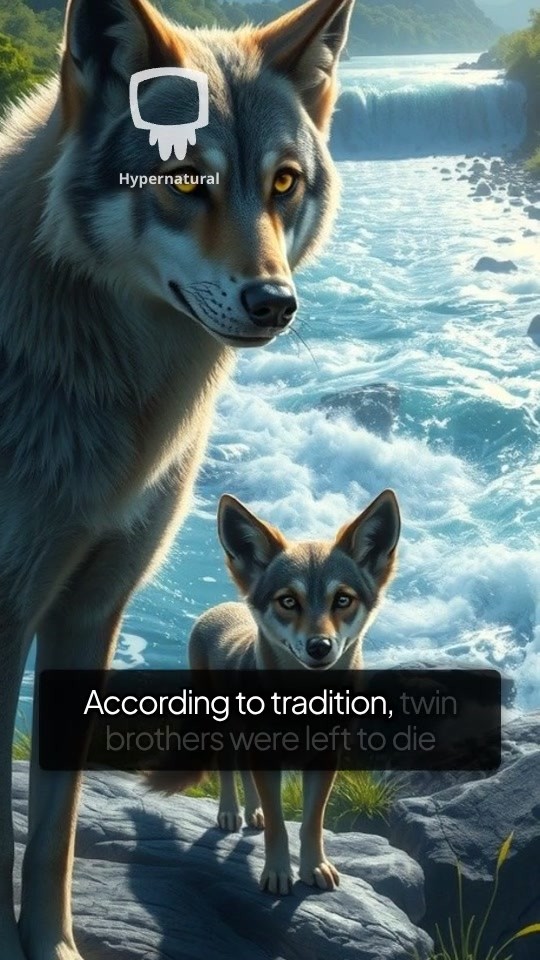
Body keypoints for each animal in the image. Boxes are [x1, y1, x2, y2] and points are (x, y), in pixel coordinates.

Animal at [0, 0, 355, 955]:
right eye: (185, 180)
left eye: (283, 184)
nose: (277, 303)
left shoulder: (90, 609)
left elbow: (53, 829)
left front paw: (53, 944)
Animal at [149, 490, 401, 895]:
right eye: (288, 601)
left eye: (342, 600)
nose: (319, 647)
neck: (305, 708)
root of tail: (220, 608)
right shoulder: (266, 756)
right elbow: (280, 827)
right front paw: (277, 873)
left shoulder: (323, 760)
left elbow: (311, 824)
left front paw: (314, 867)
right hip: (221, 728)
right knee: (227, 769)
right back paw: (230, 812)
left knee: (246, 777)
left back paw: (253, 813)